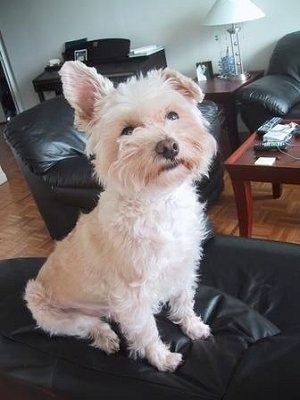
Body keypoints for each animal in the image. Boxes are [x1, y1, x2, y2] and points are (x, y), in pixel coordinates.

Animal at [24, 61, 216, 372]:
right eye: (127, 131)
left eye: (173, 115)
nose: (168, 146)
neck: (158, 201)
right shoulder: (132, 295)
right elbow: (147, 330)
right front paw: (162, 359)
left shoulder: (183, 267)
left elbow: (184, 300)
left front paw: (194, 327)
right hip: (45, 308)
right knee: (86, 324)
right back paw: (106, 338)